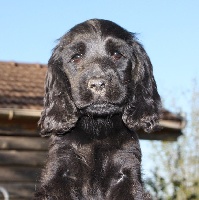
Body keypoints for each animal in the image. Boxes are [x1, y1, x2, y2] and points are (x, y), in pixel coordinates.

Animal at [34, 19, 162, 200]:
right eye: (76, 57)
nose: (98, 83)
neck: (97, 129)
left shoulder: (126, 171)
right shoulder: (60, 168)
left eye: (117, 55)